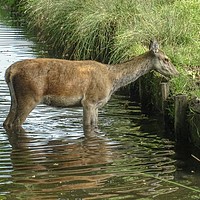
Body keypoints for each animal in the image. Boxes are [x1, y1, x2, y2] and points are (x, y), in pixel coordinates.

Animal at [3, 39, 178, 130]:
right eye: (166, 59)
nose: (177, 73)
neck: (112, 80)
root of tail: (9, 71)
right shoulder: (90, 101)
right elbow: (88, 126)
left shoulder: (97, 105)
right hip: (29, 96)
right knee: (16, 123)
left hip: (16, 99)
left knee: (7, 122)